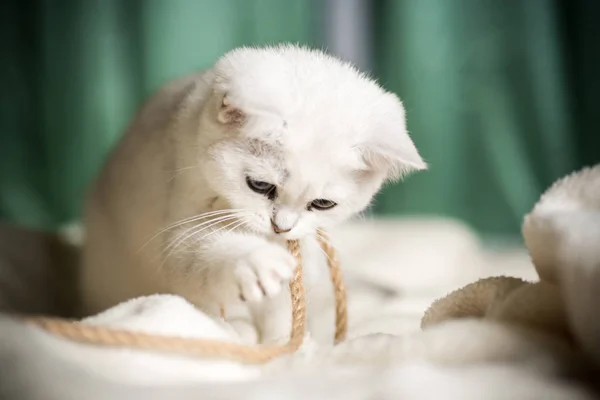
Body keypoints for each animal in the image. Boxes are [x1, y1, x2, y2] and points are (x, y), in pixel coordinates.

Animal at [79, 43, 424, 344]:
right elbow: (205, 253)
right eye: (260, 186)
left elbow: (282, 312)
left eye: (322, 204)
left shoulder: (303, 249)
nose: (281, 227)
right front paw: (255, 265)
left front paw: (284, 344)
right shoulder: (181, 228)